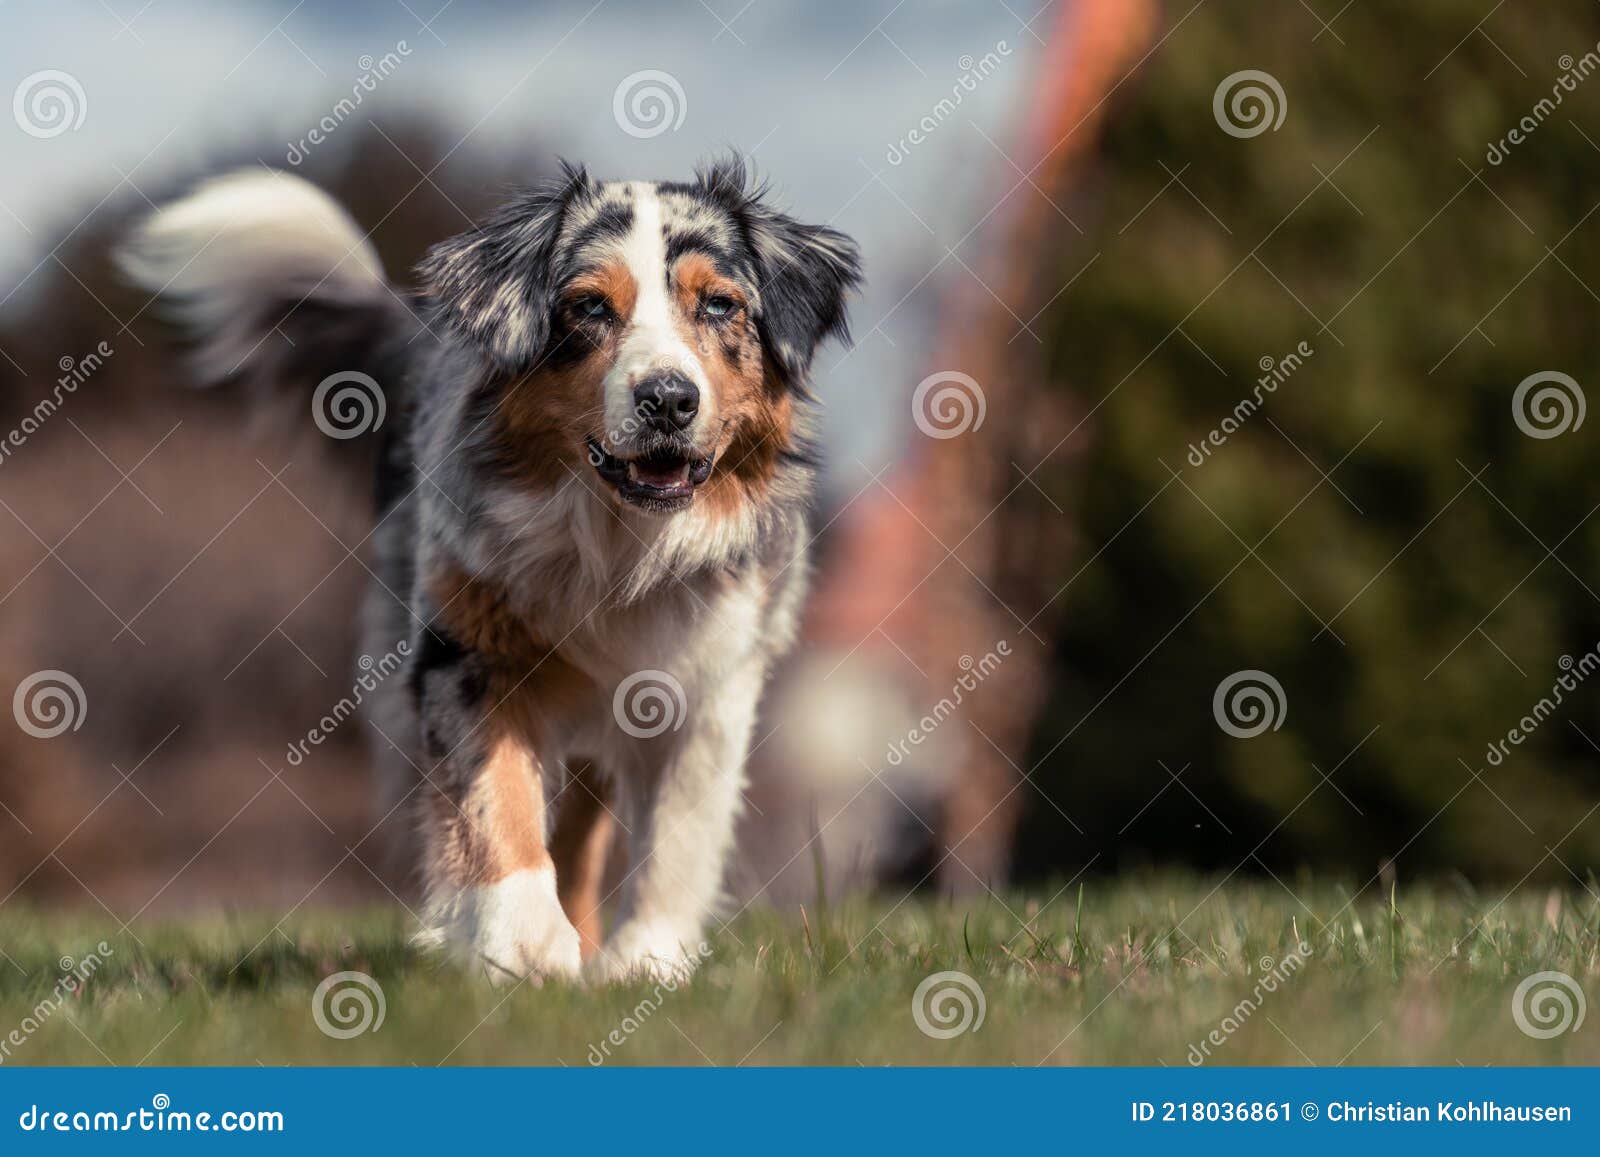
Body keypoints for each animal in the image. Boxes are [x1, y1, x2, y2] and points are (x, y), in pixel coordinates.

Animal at [123, 158, 864, 979]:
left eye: (720, 305)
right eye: (589, 307)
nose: (668, 399)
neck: (620, 543)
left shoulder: (713, 676)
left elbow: (679, 831)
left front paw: (645, 962)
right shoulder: (467, 644)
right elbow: (494, 798)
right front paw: (524, 945)